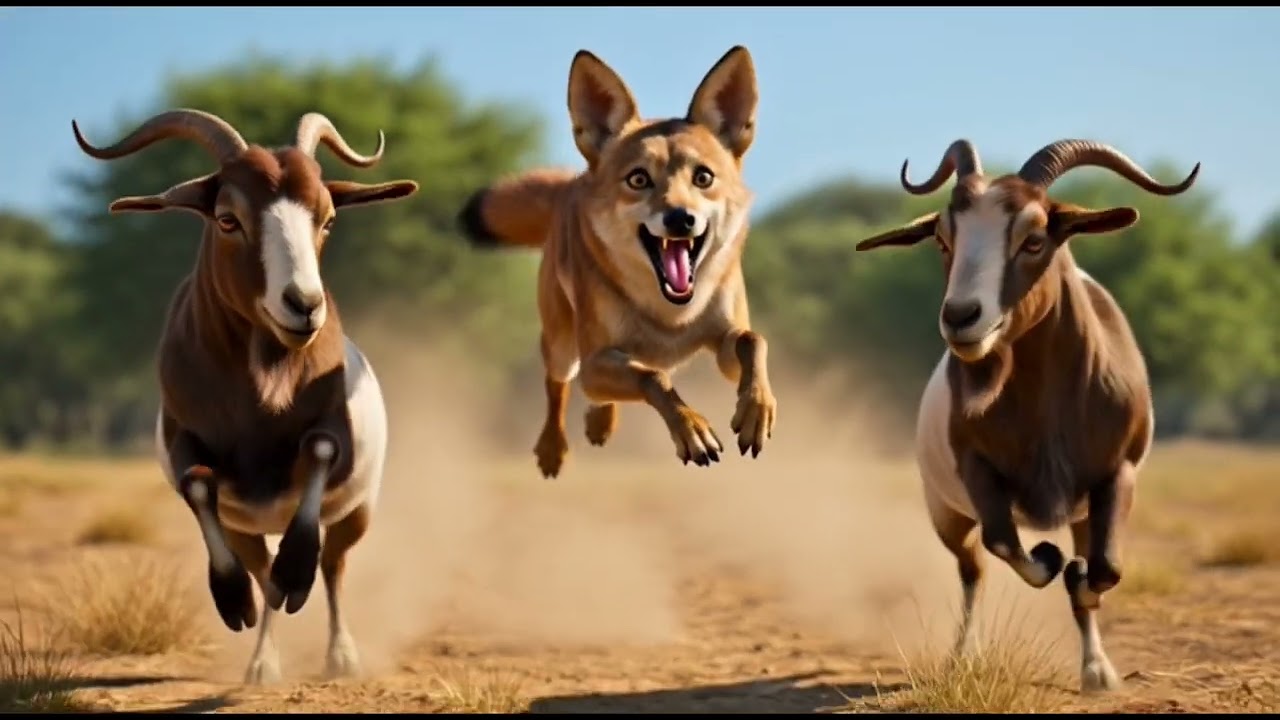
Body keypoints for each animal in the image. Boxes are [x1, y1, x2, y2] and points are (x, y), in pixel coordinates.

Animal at [71, 109, 419, 684]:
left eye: (327, 219)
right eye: (227, 218)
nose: (303, 305)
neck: (264, 390)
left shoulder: (334, 435)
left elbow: (320, 451)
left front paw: (295, 572)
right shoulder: (186, 439)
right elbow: (197, 484)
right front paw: (232, 599)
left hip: (357, 509)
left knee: (334, 565)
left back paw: (340, 654)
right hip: (246, 528)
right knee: (262, 573)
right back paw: (262, 661)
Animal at [852, 139, 1199, 692]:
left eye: (1034, 239)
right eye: (943, 239)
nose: (961, 318)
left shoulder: (1116, 476)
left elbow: (1104, 568)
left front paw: (1097, 661)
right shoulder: (977, 474)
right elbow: (1009, 547)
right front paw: (1051, 558)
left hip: (1081, 512)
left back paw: (1094, 662)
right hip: (946, 511)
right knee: (973, 570)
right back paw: (963, 657)